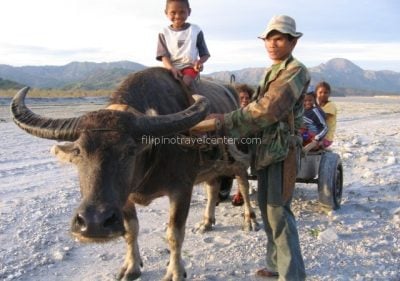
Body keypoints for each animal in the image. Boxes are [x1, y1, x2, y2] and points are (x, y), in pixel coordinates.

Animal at [12, 67, 258, 280]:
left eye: (130, 150)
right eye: (79, 151)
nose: (93, 223)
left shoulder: (182, 189)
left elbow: (174, 233)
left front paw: (175, 272)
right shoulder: (125, 198)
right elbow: (131, 230)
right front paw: (131, 267)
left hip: (238, 159)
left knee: (244, 185)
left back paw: (250, 219)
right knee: (213, 187)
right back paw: (207, 222)